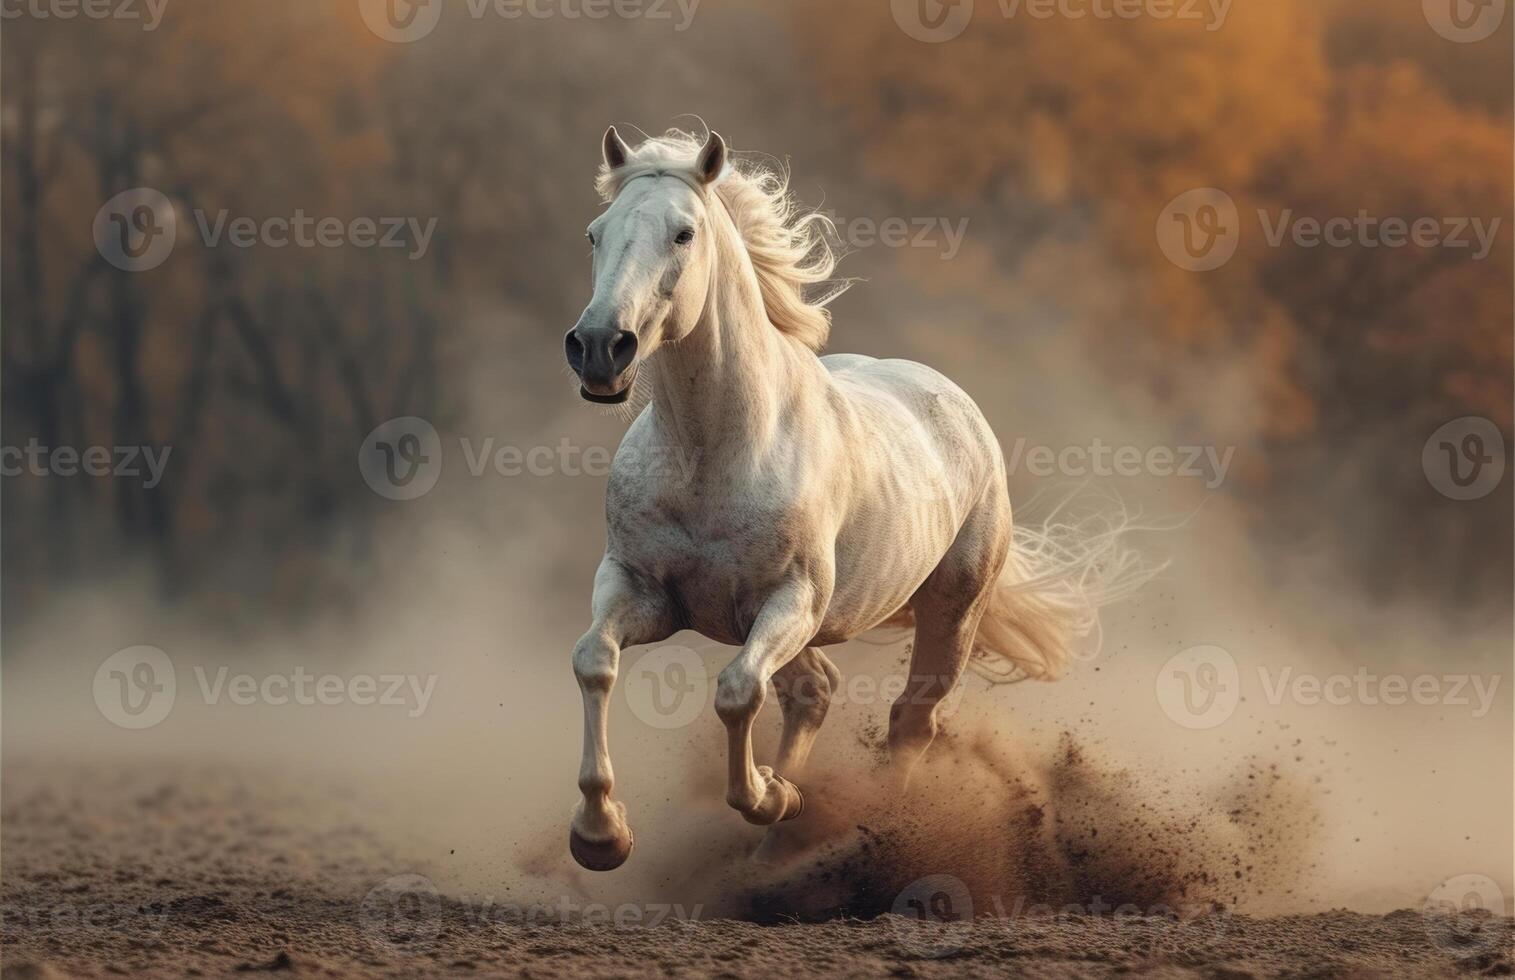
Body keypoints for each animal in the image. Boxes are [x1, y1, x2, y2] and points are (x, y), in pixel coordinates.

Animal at [566, 126, 1145, 872]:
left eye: (683, 233)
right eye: (596, 232)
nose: (599, 348)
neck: (711, 453)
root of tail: (959, 408)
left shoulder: (790, 601)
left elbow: (736, 693)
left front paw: (769, 795)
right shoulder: (639, 589)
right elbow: (595, 662)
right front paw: (600, 836)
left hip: (950, 612)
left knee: (910, 722)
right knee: (816, 693)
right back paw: (774, 852)